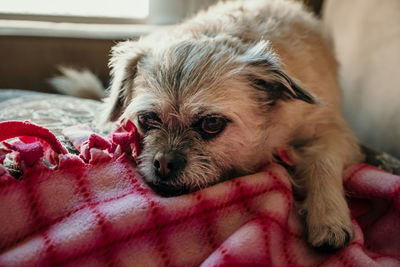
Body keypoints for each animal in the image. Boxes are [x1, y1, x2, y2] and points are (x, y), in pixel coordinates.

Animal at [51, 0, 364, 251]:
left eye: (211, 124)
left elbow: (323, 161)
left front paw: (329, 217)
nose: (164, 162)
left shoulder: (332, 131)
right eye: (147, 119)